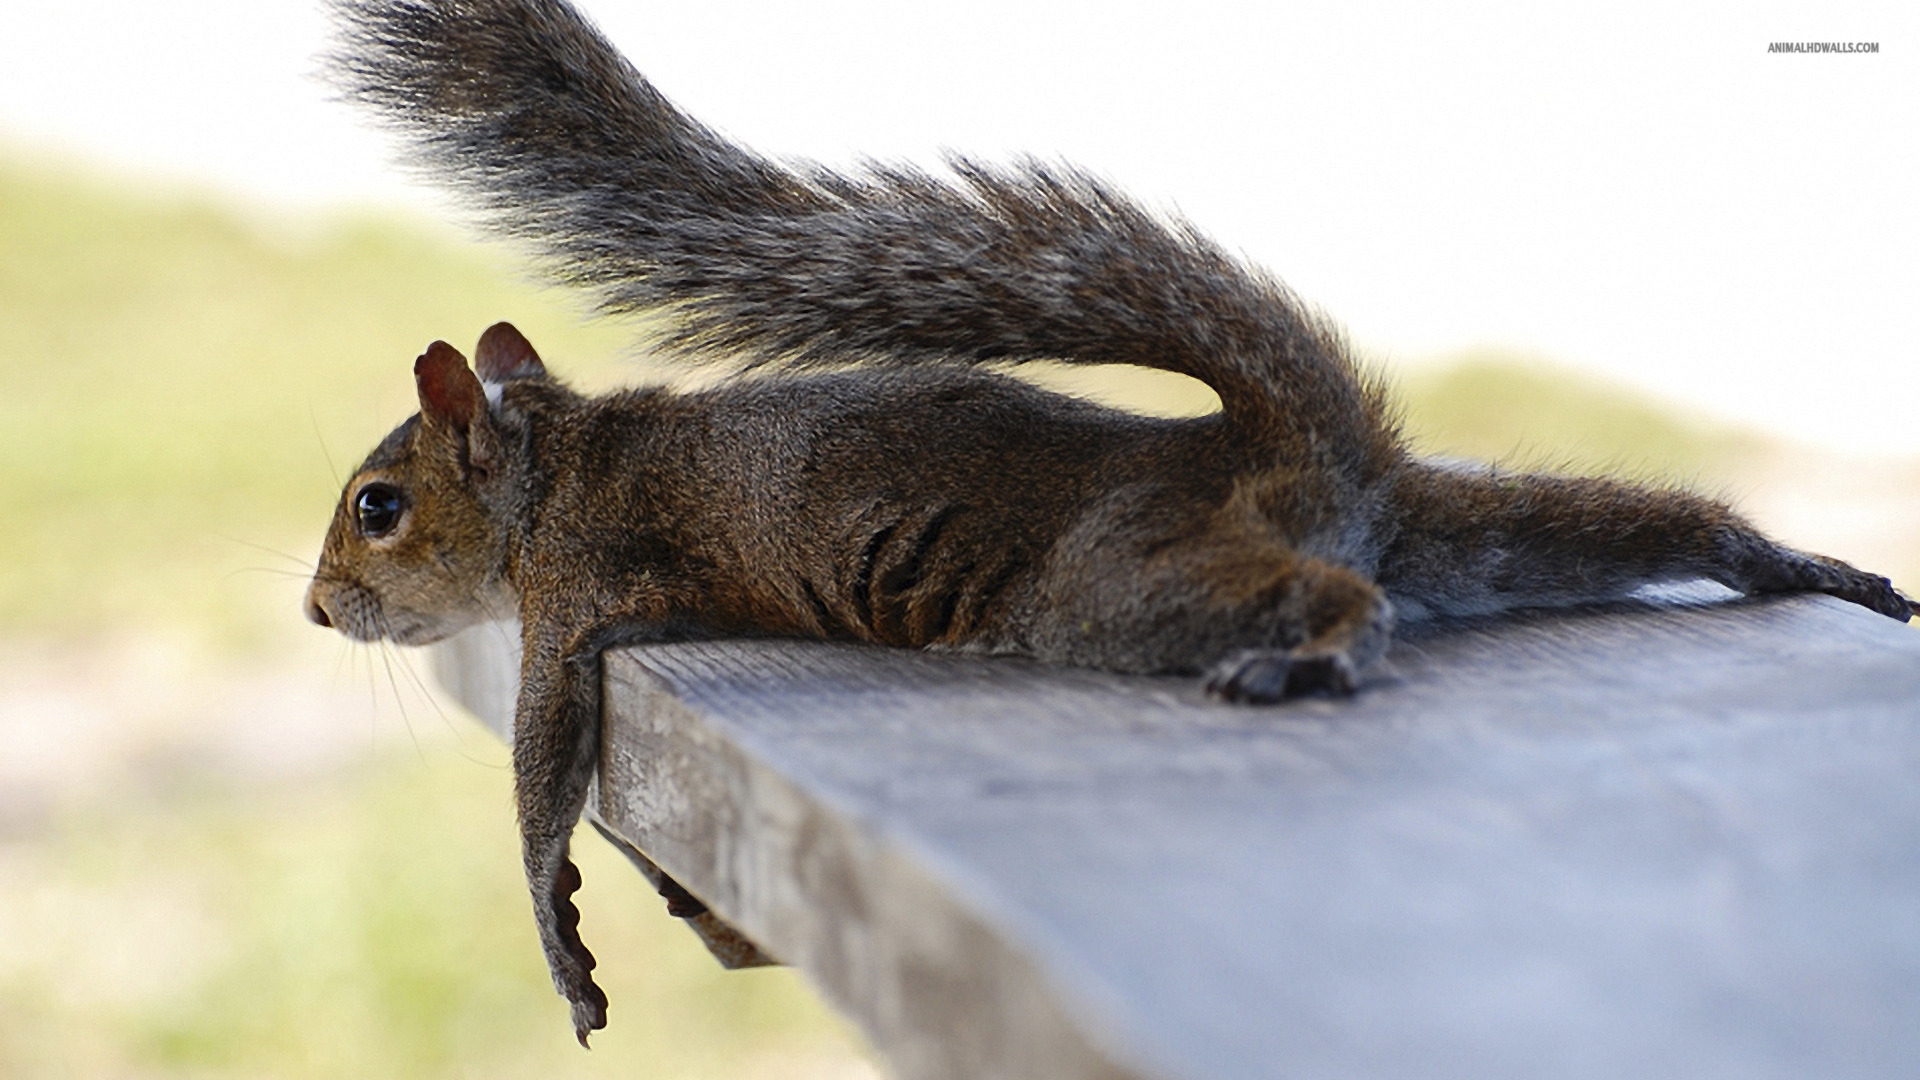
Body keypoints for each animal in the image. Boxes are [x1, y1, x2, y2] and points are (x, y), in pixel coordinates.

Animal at [307, 0, 1916, 1046]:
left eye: (376, 509)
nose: (320, 611)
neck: (550, 467)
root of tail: (1285, 442)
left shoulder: (575, 595)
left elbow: (543, 778)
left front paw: (562, 941)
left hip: (1115, 583)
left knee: (1338, 602)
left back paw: (1320, 653)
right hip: (1463, 525)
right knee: (1635, 524)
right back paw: (1801, 561)